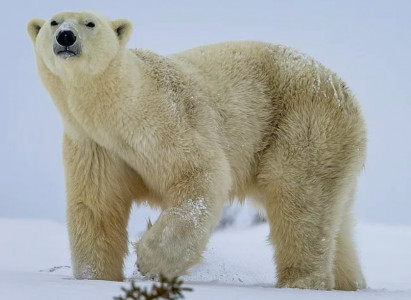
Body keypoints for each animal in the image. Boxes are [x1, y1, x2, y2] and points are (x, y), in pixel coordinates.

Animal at [26, 11, 366, 290]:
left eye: (90, 23)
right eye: (54, 22)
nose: (66, 36)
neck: (118, 109)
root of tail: (347, 94)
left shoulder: (166, 118)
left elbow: (201, 175)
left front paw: (147, 261)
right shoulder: (94, 144)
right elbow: (96, 206)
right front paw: (94, 279)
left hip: (304, 126)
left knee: (300, 202)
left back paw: (301, 281)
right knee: (337, 222)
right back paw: (350, 283)